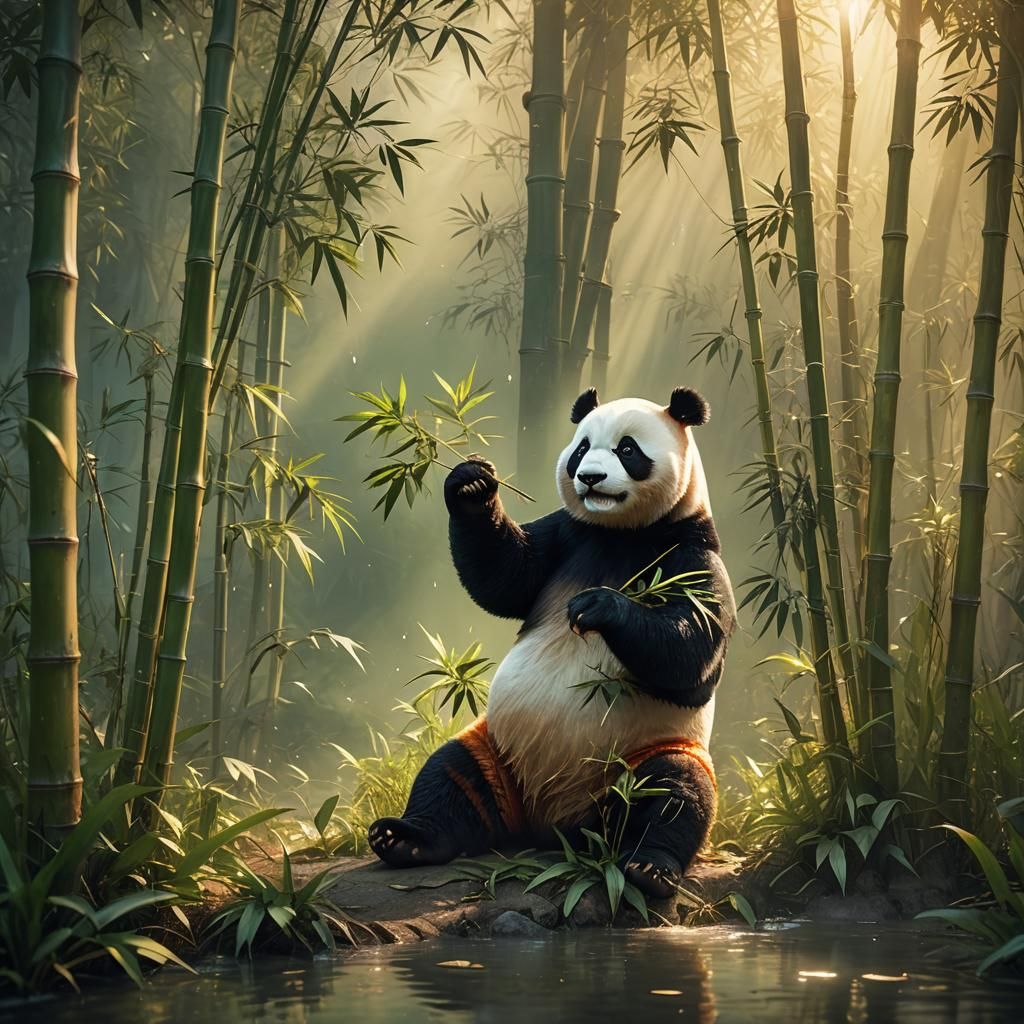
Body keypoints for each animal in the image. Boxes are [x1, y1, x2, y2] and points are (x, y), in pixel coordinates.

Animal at [369, 386, 736, 898]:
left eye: (628, 450)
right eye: (582, 448)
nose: (590, 477)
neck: (621, 533)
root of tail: (555, 827)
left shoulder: (691, 553)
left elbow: (692, 656)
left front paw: (600, 606)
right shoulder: (569, 535)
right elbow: (506, 577)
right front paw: (470, 483)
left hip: (645, 754)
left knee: (672, 793)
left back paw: (649, 867)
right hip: (497, 748)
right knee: (450, 774)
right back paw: (406, 838)